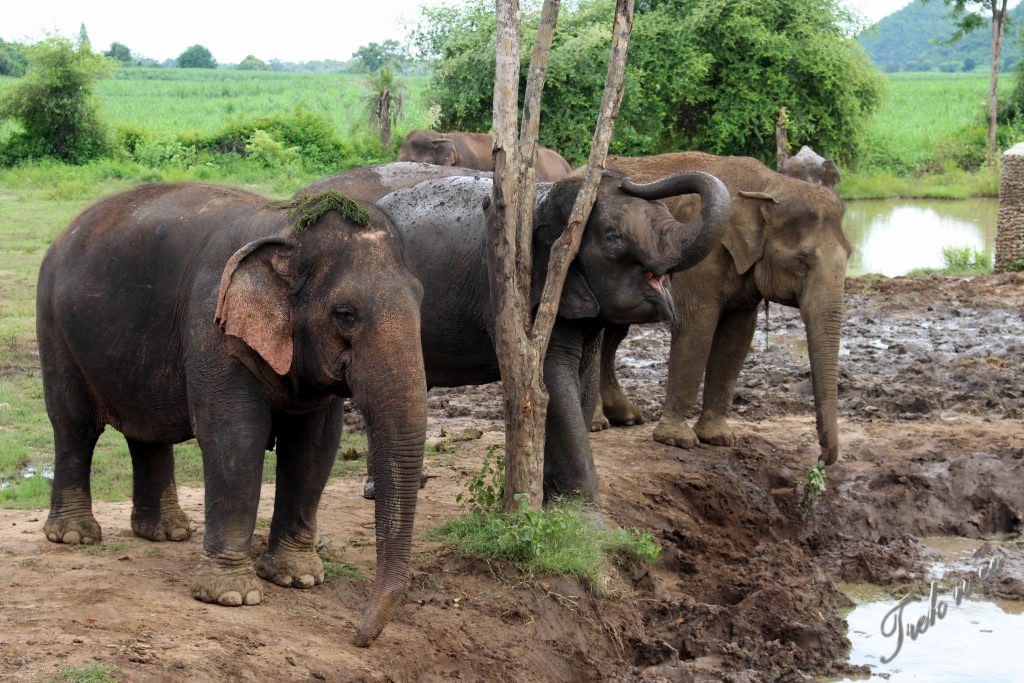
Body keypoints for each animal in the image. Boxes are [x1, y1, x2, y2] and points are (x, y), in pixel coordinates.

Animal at [37, 183, 428, 647]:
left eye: (422, 299)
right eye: (345, 314)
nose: (359, 637)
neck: (287, 231)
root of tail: (66, 230)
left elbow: (315, 447)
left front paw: (297, 579)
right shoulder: (213, 325)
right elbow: (235, 437)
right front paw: (232, 597)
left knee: (146, 431)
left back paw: (167, 533)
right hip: (54, 328)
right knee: (74, 426)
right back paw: (74, 536)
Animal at [299, 160, 733, 501]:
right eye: (612, 238)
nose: (627, 179)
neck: (545, 198)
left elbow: (582, 381)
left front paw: (553, 500)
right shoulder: (522, 293)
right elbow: (552, 380)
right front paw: (580, 514)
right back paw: (380, 491)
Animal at [593, 152, 847, 466]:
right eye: (802, 261)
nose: (821, 459)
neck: (768, 185)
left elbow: (736, 338)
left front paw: (719, 439)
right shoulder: (703, 258)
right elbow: (697, 325)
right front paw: (677, 441)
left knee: (614, 334)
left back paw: (626, 417)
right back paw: (597, 424)